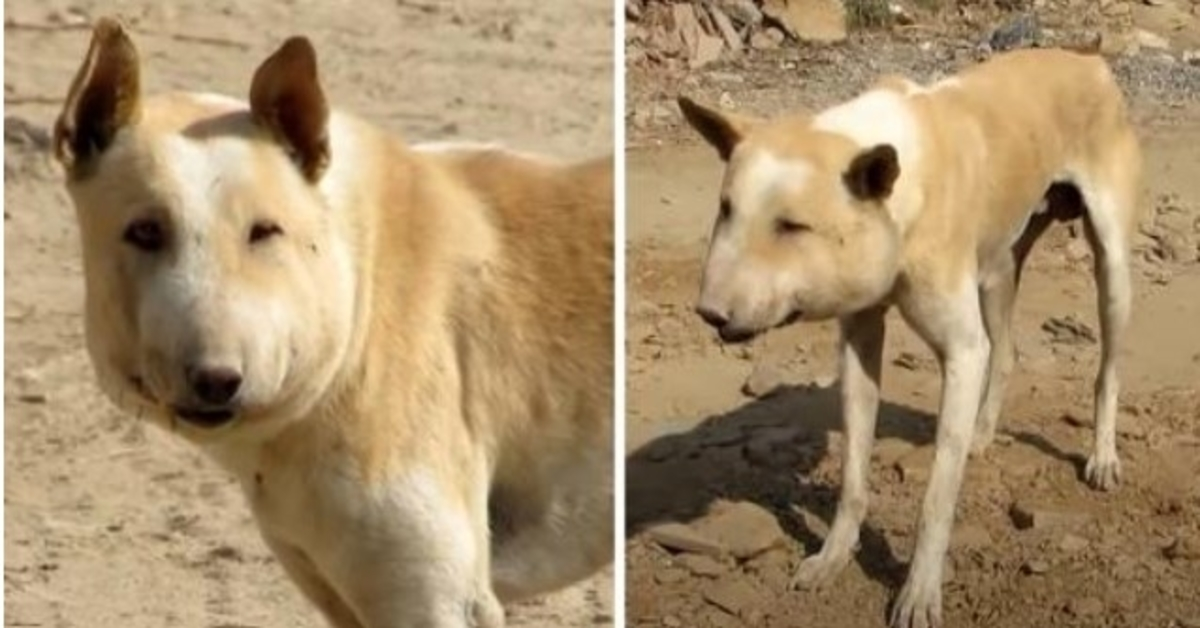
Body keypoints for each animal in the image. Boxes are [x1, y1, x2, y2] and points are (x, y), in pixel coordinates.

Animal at [681, 49, 1137, 628]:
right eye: (725, 209)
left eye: (793, 226)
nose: (709, 313)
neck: (899, 194)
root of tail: (1087, 55)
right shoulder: (858, 340)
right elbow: (853, 477)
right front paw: (833, 556)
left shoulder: (961, 353)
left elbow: (936, 502)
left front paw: (919, 592)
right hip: (998, 269)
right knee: (1006, 352)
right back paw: (982, 434)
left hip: (1111, 270)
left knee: (1107, 371)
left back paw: (1102, 456)